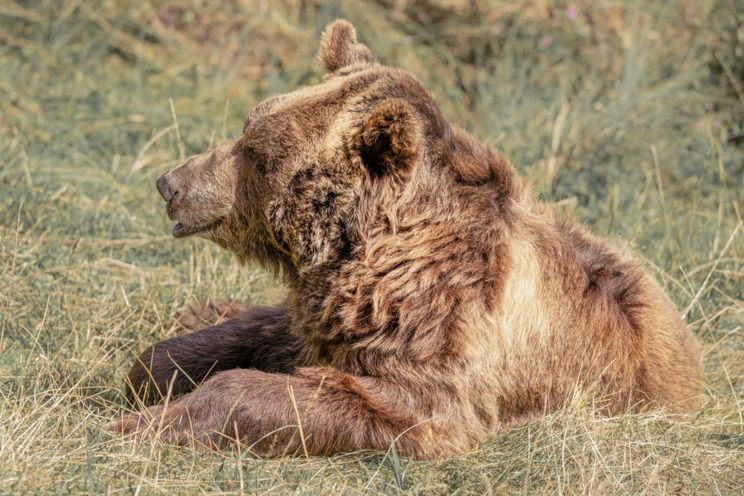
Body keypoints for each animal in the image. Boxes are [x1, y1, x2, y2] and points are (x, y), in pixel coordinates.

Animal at [113, 20, 703, 460]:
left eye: (254, 153)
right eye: (247, 127)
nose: (170, 183)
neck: (373, 251)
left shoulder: (437, 339)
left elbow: (368, 400)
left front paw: (143, 423)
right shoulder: (338, 307)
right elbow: (247, 335)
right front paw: (158, 370)